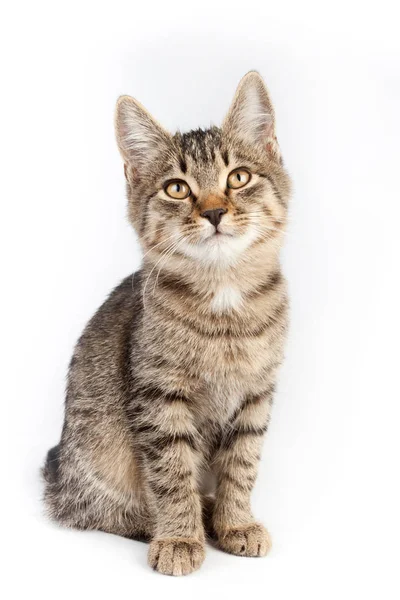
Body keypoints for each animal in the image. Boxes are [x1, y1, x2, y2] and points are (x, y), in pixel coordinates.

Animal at [43, 71, 290, 576]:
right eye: (177, 188)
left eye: (239, 177)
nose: (214, 212)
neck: (225, 303)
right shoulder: (158, 399)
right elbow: (172, 474)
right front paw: (180, 536)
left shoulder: (257, 396)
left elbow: (242, 465)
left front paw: (236, 522)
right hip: (93, 467)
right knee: (100, 511)